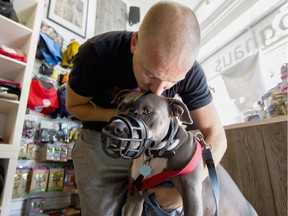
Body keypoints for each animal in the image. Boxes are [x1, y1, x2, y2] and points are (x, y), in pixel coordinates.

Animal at [100, 90, 256, 216]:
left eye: (147, 112)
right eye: (121, 107)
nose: (114, 127)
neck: (154, 154)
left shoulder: (191, 194)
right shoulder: (134, 197)